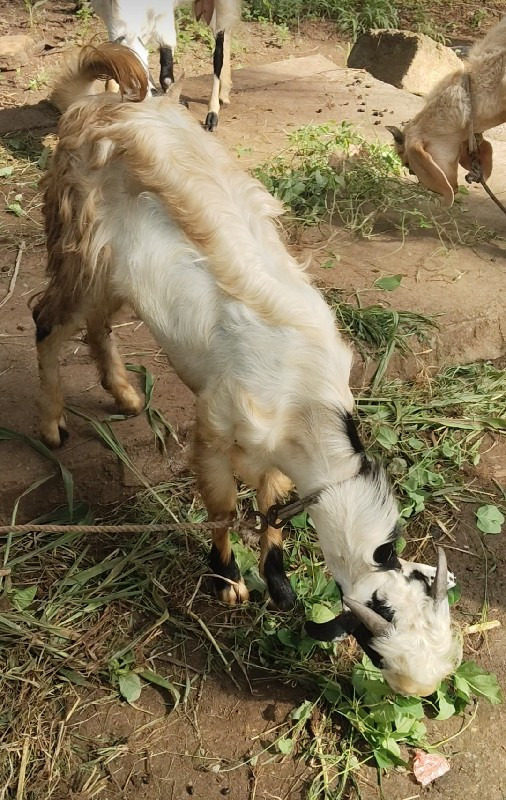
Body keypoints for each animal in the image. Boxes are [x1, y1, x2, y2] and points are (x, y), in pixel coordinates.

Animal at [34, 43, 462, 696]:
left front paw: (277, 581)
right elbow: (222, 507)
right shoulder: (213, 429)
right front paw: (228, 580)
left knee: (99, 323)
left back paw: (126, 395)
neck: (302, 390)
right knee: (46, 322)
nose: (420, 691)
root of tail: (92, 104)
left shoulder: (279, 454)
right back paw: (53, 423)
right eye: (375, 648)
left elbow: (271, 507)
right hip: (77, 246)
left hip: (113, 274)